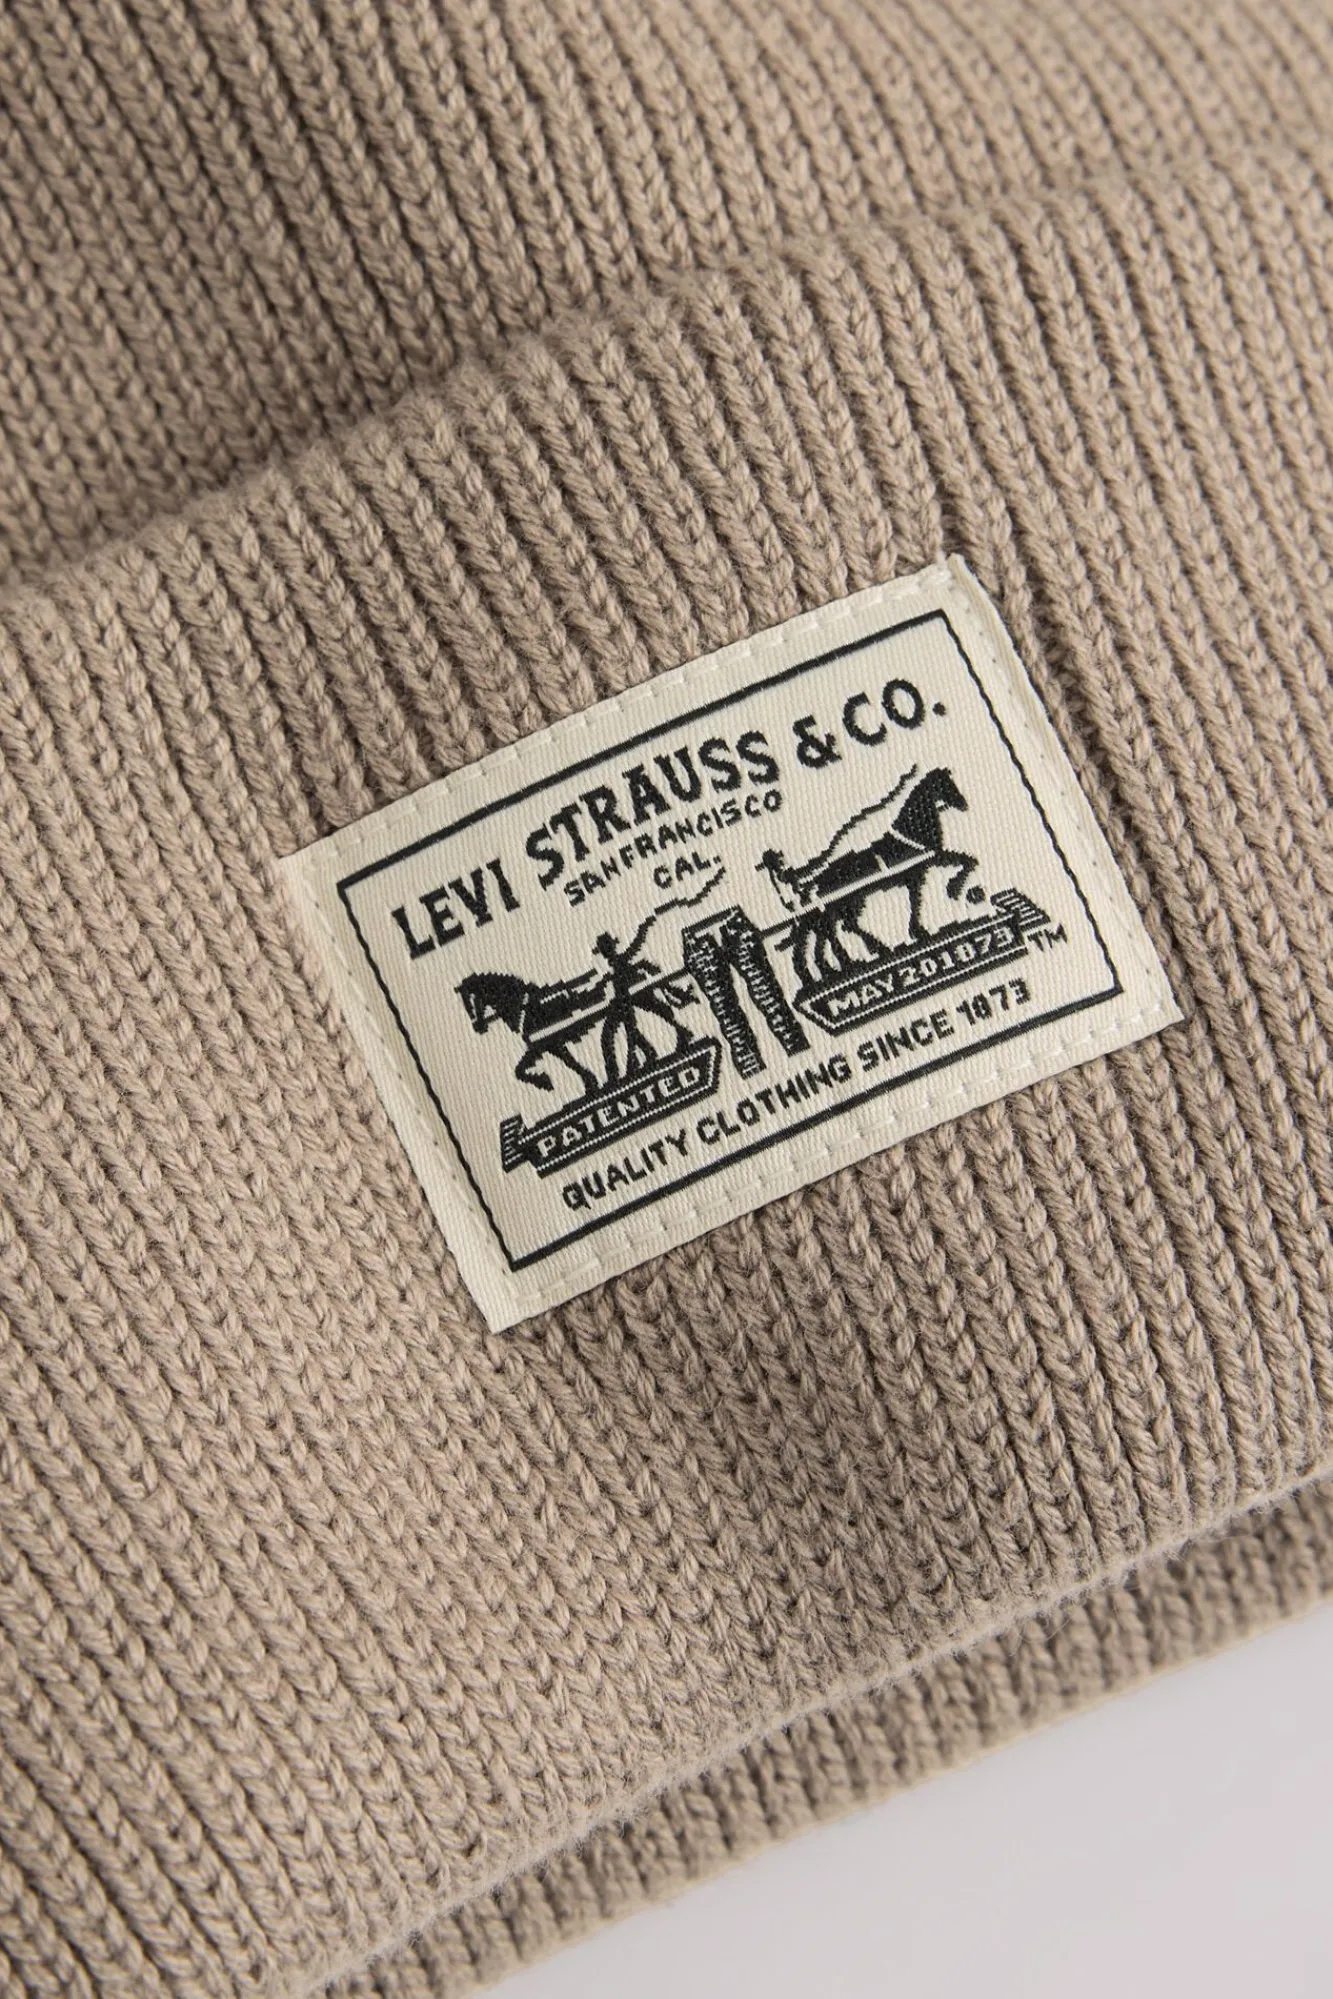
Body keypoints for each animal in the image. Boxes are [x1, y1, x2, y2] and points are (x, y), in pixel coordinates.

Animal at [457, 969, 605, 1095]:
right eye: (466, 1007)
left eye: (471, 1005)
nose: (478, 1028)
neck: (524, 1007)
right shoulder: (547, 1045)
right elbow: (568, 1061)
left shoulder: (545, 1044)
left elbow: (521, 1069)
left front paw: (545, 1081)